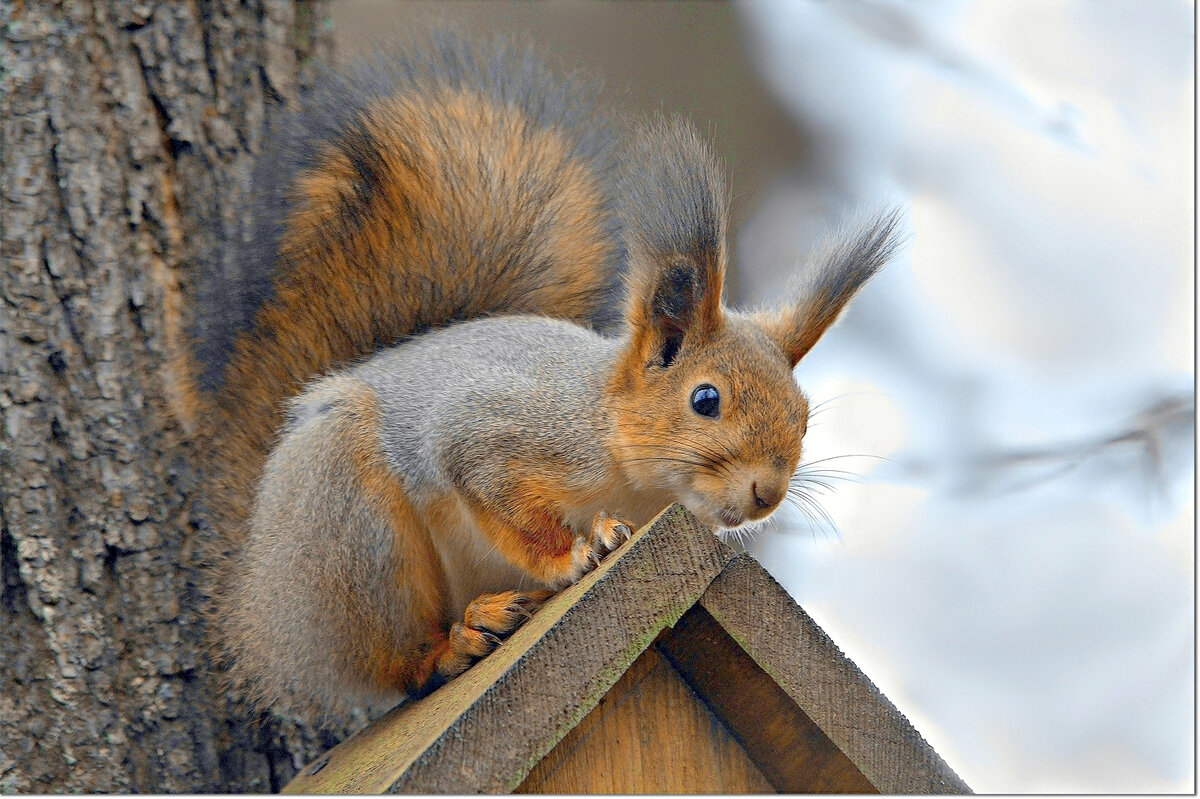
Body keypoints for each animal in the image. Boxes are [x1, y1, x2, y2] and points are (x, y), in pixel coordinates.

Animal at [194, 32, 902, 715]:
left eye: (804, 419)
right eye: (706, 399)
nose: (767, 494)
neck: (614, 441)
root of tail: (256, 581)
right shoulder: (499, 433)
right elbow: (499, 494)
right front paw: (576, 552)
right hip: (350, 531)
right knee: (396, 665)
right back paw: (455, 642)